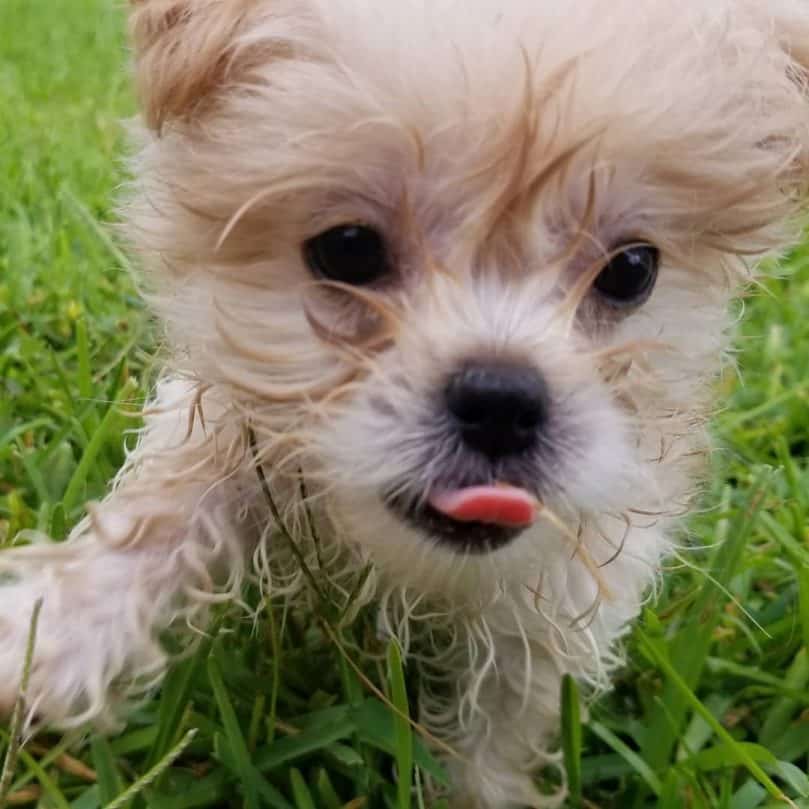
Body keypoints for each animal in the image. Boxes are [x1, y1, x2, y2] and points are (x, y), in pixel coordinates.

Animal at [1, 1, 808, 808]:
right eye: (348, 249)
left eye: (631, 269)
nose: (501, 401)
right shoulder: (230, 415)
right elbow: (163, 510)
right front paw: (50, 639)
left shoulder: (564, 595)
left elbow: (503, 726)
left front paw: (484, 790)